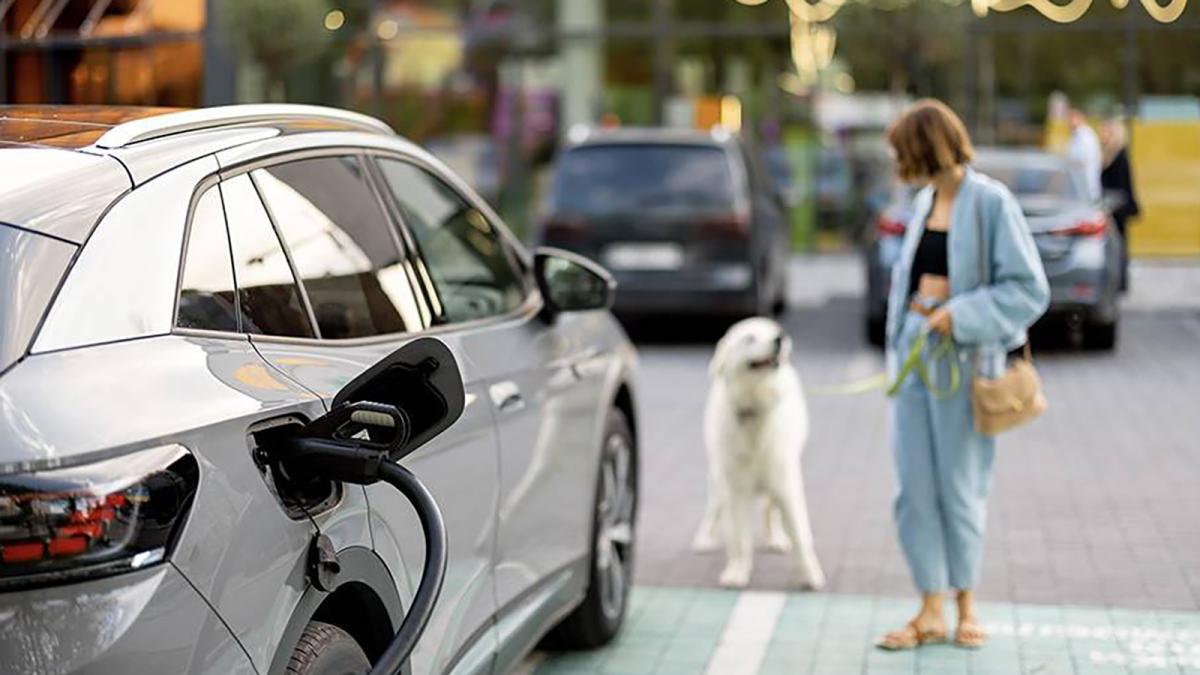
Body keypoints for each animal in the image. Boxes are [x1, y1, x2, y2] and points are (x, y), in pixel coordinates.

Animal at [696, 317, 825, 586]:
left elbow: (801, 536)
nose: (780, 338)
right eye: (750, 338)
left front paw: (810, 575)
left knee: (769, 508)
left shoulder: (787, 486)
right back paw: (704, 538)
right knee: (714, 506)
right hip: (719, 478)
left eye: (775, 332)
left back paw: (775, 538)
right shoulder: (736, 492)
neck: (755, 409)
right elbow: (740, 539)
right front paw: (737, 572)